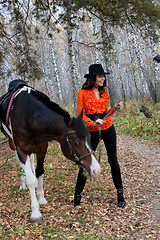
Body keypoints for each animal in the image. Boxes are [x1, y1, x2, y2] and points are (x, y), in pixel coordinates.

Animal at [0, 79, 100, 222]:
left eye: (90, 138)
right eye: (76, 142)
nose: (96, 169)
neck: (29, 116)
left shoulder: (42, 148)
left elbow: (39, 172)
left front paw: (41, 198)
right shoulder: (21, 150)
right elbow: (31, 179)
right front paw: (35, 211)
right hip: (11, 143)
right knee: (20, 164)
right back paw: (23, 184)